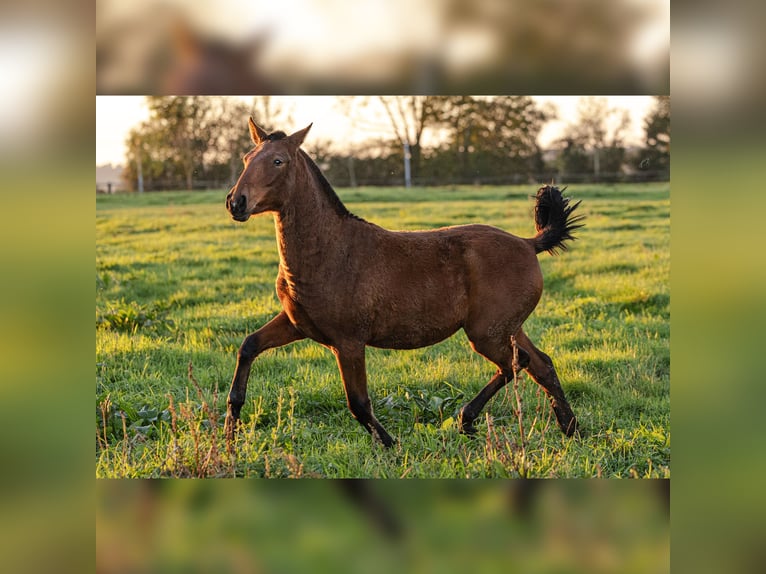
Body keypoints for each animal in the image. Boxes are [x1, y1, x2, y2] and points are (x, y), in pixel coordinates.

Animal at [225, 118, 584, 450]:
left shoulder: (348, 342)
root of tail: (527, 243)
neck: (329, 251)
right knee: (541, 364)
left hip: (486, 332)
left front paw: (390, 444)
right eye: (246, 157)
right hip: (507, 328)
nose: (236, 202)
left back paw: (468, 420)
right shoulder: (297, 324)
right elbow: (248, 346)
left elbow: (358, 403)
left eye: (278, 161)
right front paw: (230, 429)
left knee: (518, 364)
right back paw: (569, 428)